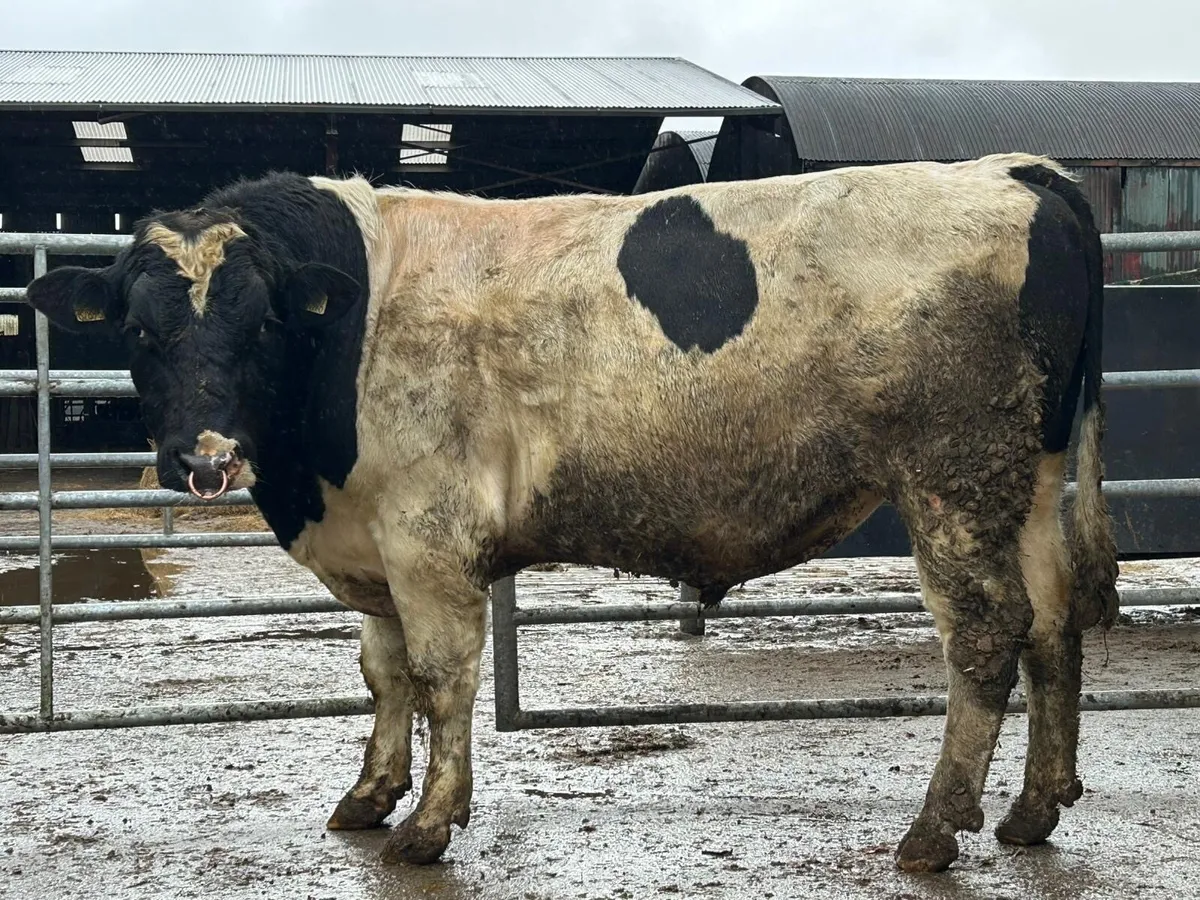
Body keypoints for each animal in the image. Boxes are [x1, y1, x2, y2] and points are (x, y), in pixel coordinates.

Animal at [25, 152, 1120, 873]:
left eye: (260, 323)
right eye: (138, 329)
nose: (204, 457)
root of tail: (1011, 171)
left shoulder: (428, 537)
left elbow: (440, 677)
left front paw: (430, 822)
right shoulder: (372, 542)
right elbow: (382, 673)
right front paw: (370, 795)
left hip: (950, 479)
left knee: (987, 634)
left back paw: (936, 829)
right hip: (1023, 482)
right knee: (1052, 622)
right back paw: (1033, 810)